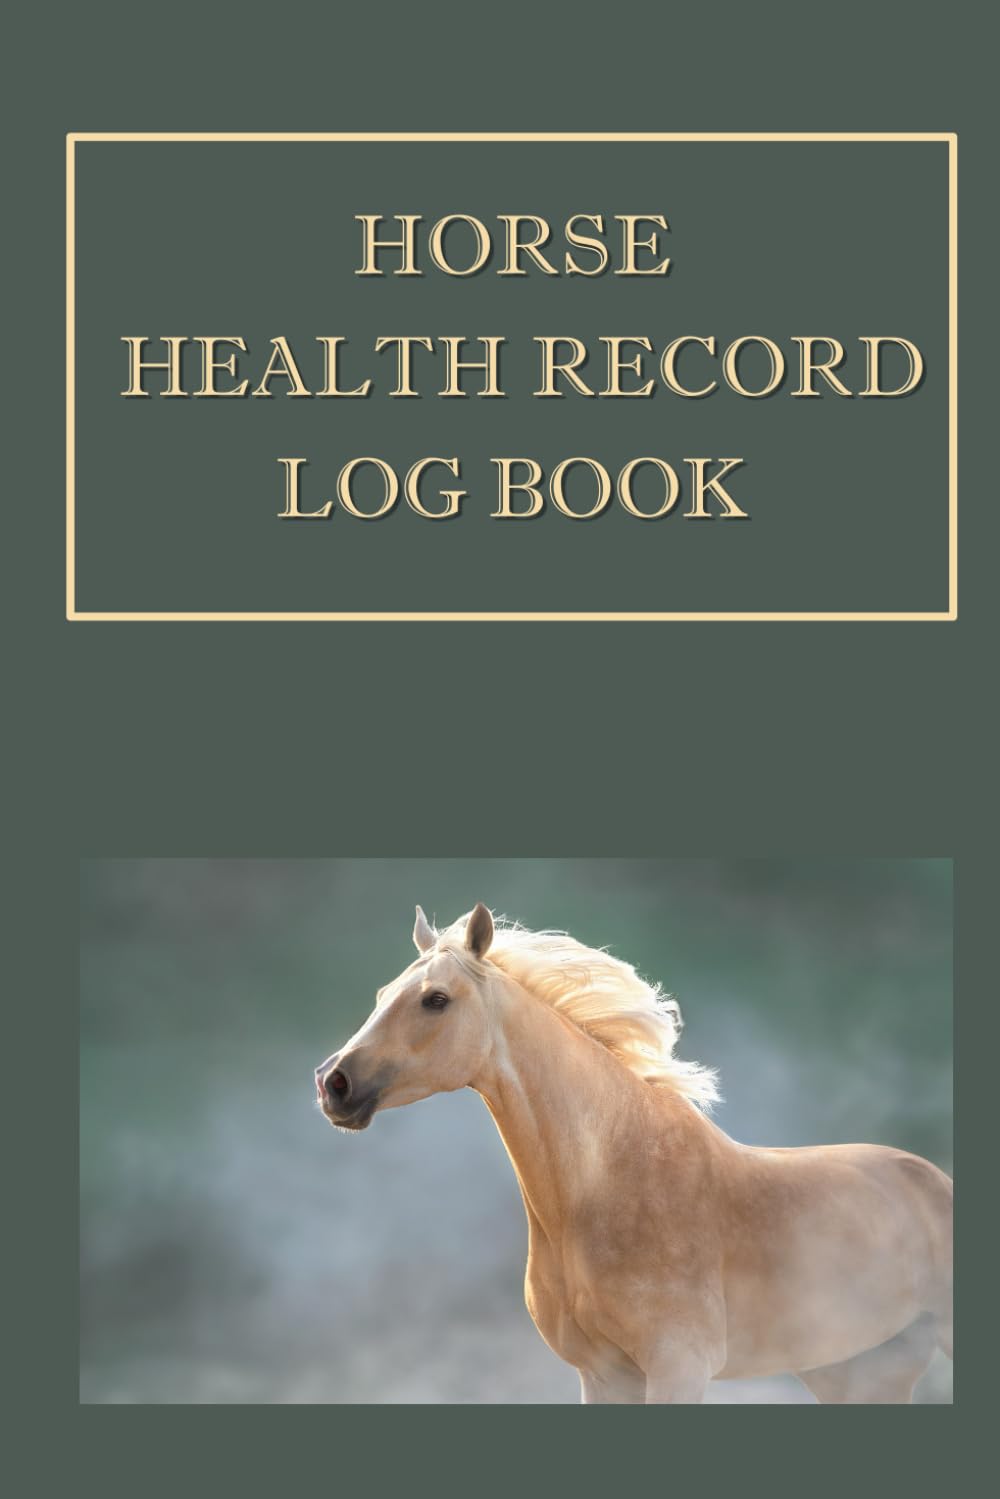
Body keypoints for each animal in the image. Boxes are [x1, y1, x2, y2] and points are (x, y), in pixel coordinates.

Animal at [314, 903, 953, 1404]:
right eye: (382, 995)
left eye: (436, 999)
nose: (333, 1083)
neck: (611, 1182)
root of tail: (932, 1179)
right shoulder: (603, 1374)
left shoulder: (678, 1368)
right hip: (857, 1371)